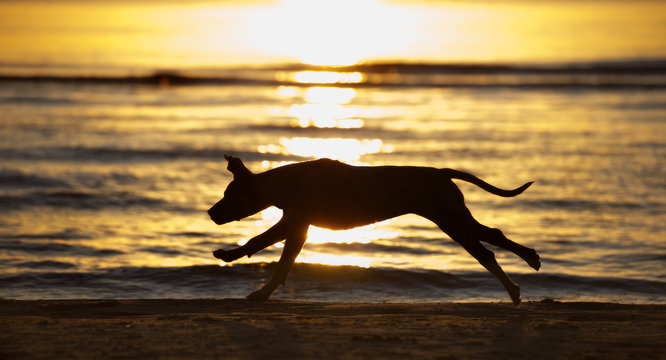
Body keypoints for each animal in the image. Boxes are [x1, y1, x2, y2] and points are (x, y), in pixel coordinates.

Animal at [209, 155, 540, 304]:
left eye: (228, 194)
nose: (211, 212)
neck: (283, 182)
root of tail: (439, 172)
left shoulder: (296, 225)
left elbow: (272, 255)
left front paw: (258, 288)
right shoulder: (294, 224)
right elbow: (264, 248)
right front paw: (235, 259)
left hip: (452, 221)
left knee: (487, 252)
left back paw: (516, 284)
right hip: (455, 218)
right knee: (494, 235)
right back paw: (528, 263)